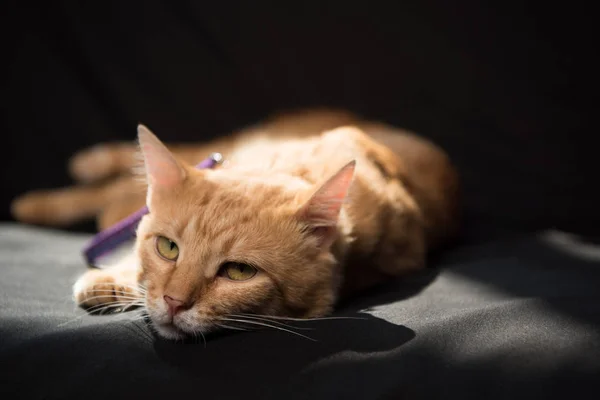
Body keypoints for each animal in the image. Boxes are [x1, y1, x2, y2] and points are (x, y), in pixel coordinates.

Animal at [10, 108, 460, 338]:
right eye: (168, 248)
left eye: (239, 271)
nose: (173, 303)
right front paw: (114, 277)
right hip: (218, 147)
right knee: (115, 183)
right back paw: (52, 191)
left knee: (115, 194)